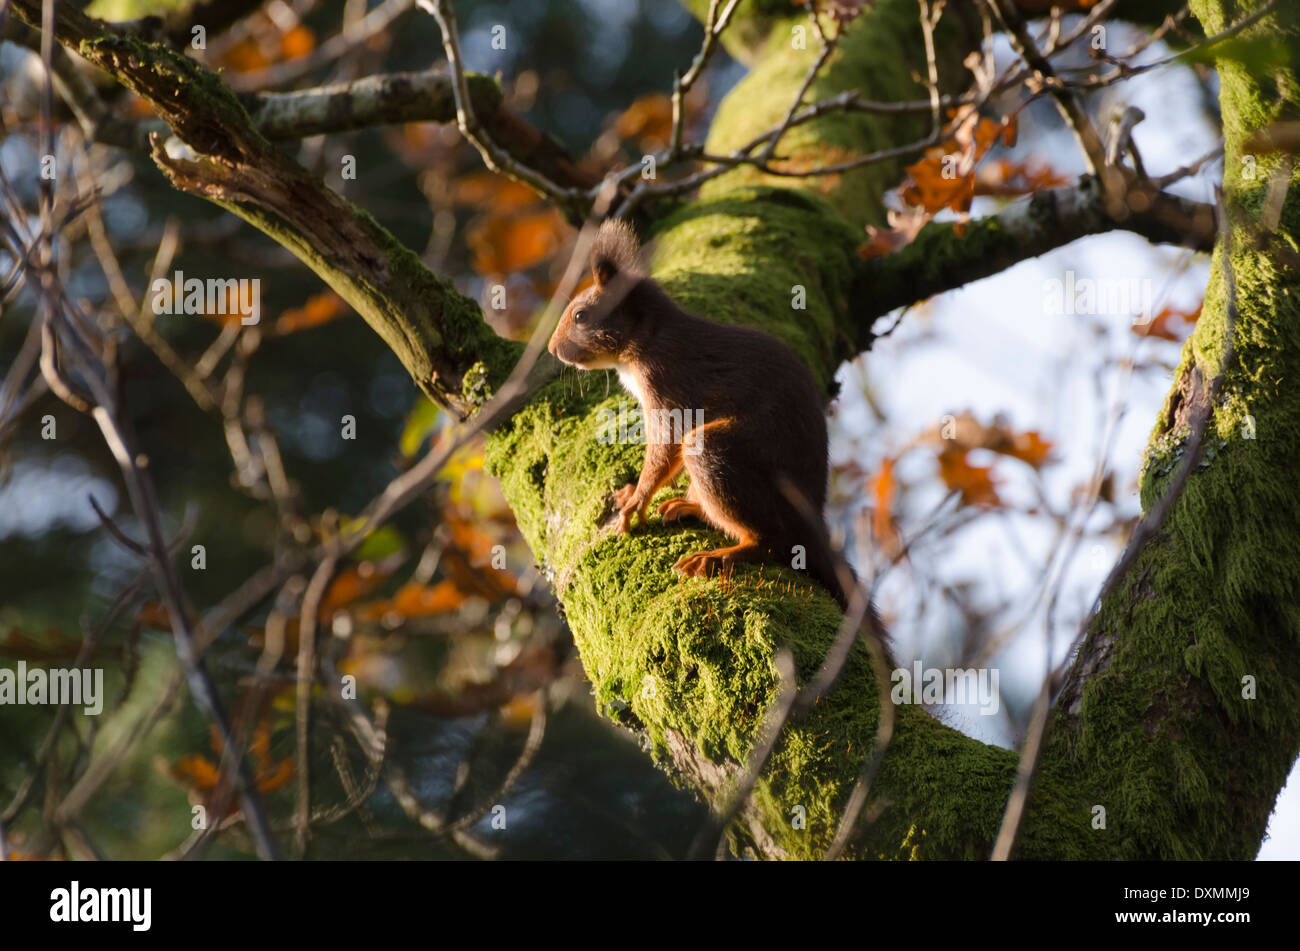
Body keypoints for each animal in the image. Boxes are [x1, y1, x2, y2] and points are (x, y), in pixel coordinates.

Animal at [543, 219, 847, 608]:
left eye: (580, 315)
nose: (552, 349)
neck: (648, 337)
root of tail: (812, 514)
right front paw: (631, 493)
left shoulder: (667, 385)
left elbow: (663, 450)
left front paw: (637, 500)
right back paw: (690, 506)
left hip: (716, 452)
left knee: (772, 541)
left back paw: (719, 556)